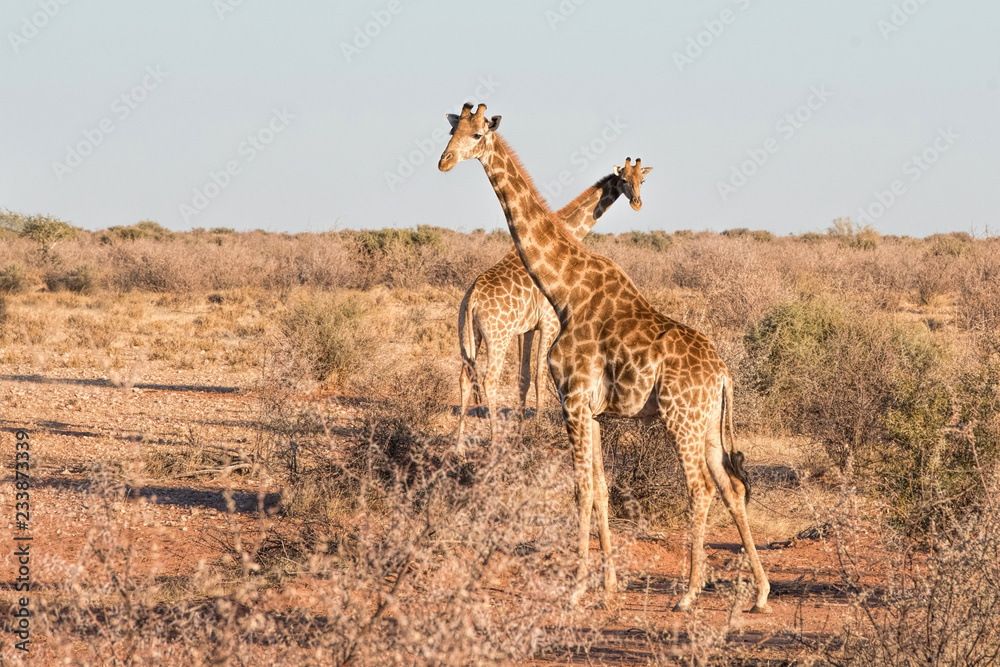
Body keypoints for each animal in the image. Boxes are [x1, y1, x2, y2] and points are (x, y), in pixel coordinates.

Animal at [456, 159, 652, 442]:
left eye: (642, 180)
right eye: (624, 179)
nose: (637, 203)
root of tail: (472, 297)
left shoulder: (526, 329)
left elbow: (524, 377)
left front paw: (522, 431)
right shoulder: (548, 322)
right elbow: (540, 375)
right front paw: (538, 428)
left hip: (468, 333)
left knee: (464, 378)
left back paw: (459, 444)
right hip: (497, 336)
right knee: (489, 380)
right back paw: (493, 439)